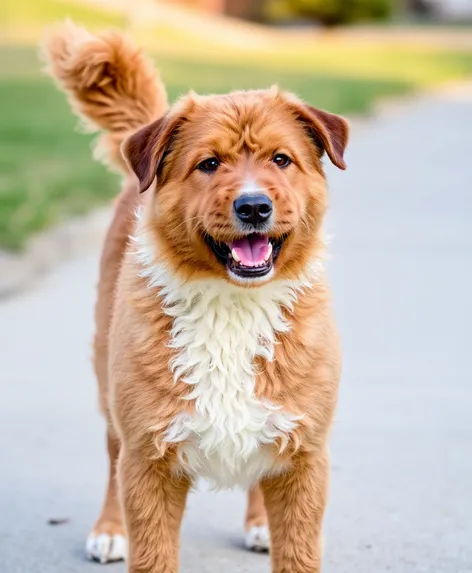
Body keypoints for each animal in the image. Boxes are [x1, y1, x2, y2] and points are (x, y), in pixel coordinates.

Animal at [43, 21, 346, 572]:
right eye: (208, 163)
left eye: (281, 159)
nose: (254, 206)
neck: (233, 306)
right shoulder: (149, 459)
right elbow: (152, 550)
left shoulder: (304, 456)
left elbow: (297, 550)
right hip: (109, 386)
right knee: (111, 455)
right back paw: (109, 530)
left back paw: (258, 524)